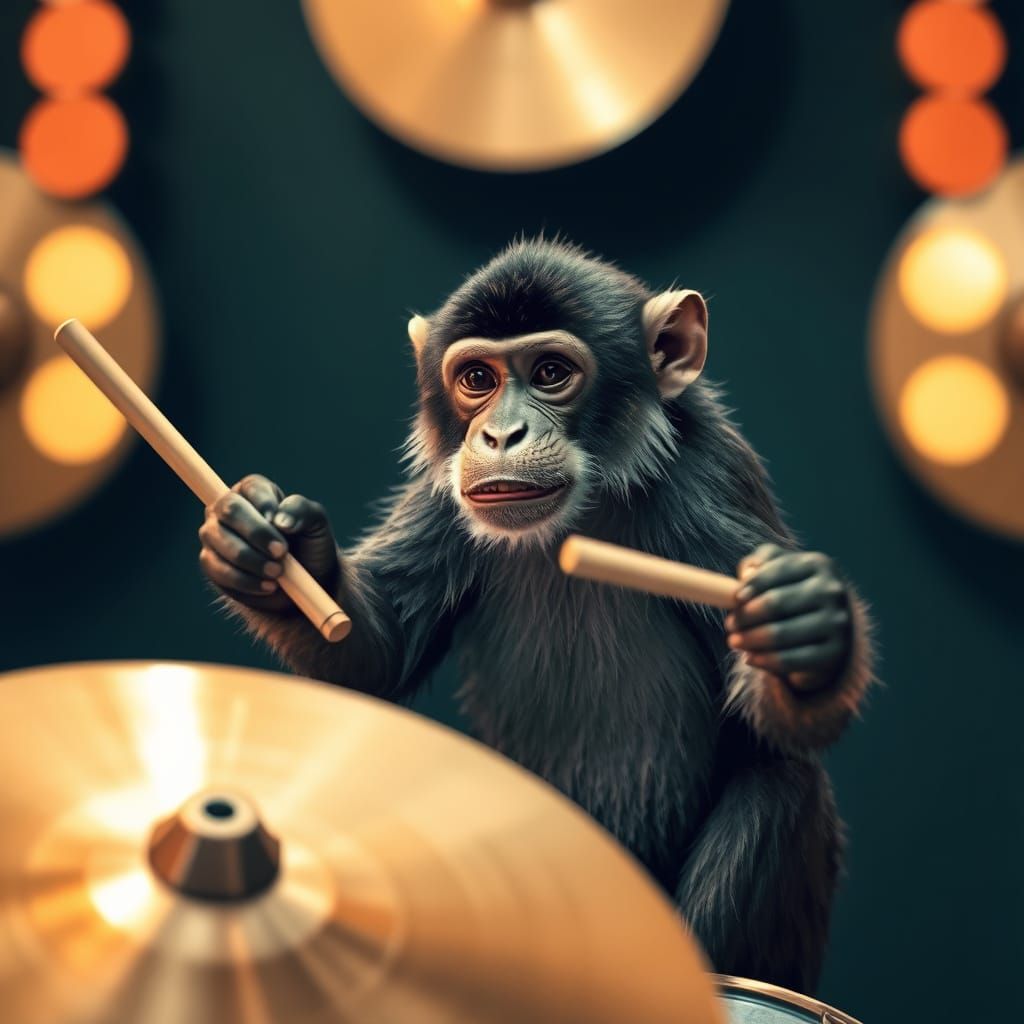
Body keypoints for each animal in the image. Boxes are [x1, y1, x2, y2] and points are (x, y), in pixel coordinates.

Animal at [198, 239, 874, 993]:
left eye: (551, 373)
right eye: (477, 378)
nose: (500, 433)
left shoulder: (710, 484)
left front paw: (808, 630)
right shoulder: (442, 498)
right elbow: (378, 652)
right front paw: (265, 541)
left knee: (781, 783)